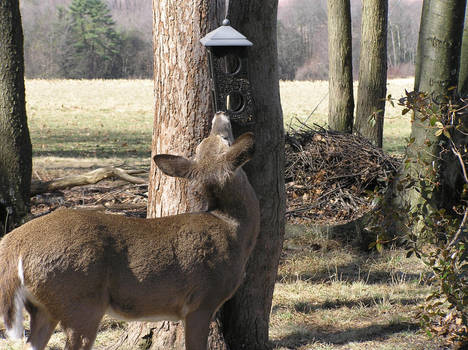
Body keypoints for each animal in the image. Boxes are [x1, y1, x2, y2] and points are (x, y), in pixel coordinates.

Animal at [0, 112, 260, 350]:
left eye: (207, 143)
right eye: (223, 139)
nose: (220, 113)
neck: (233, 230)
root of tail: (14, 246)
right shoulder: (202, 300)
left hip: (44, 307)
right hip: (80, 299)